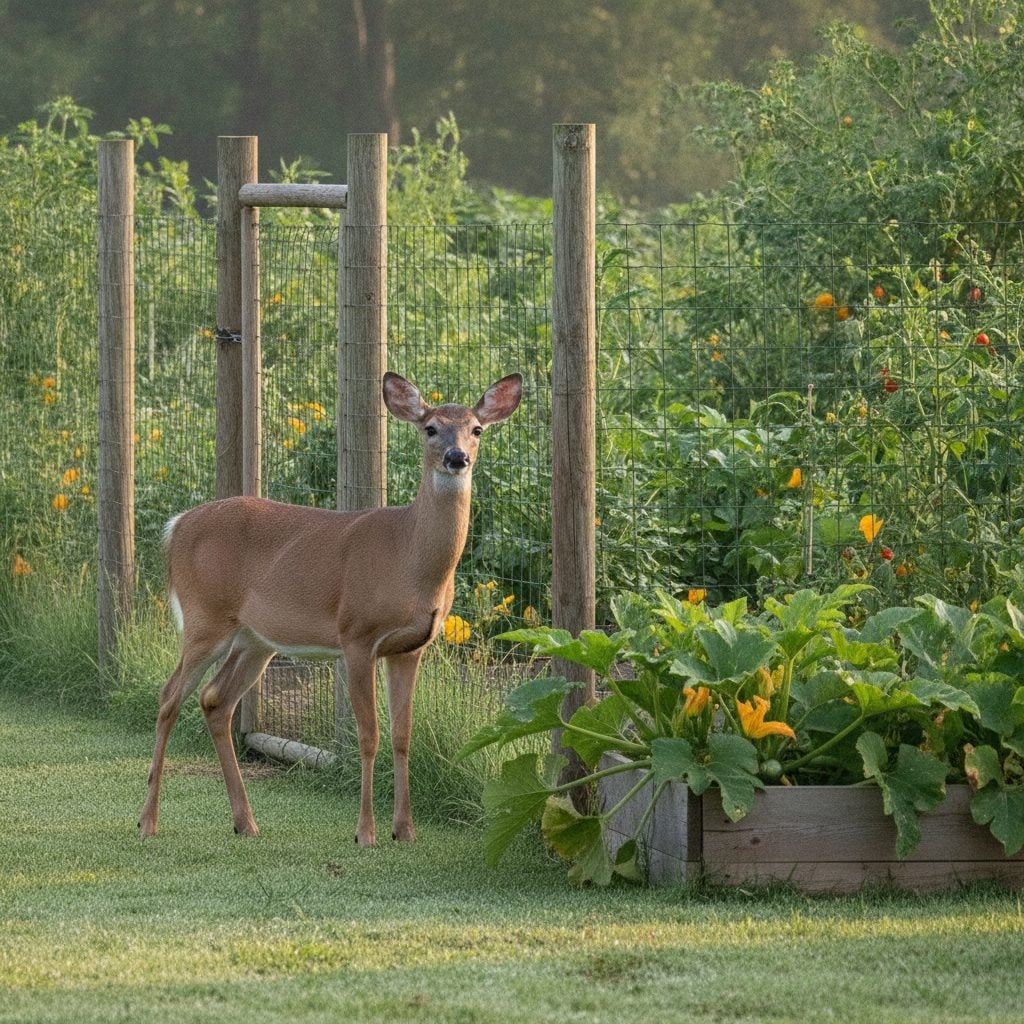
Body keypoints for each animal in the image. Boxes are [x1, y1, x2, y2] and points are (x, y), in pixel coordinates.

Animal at [139, 370, 523, 845]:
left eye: (477, 429)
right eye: (430, 428)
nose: (457, 458)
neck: (410, 559)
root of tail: (175, 527)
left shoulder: (411, 648)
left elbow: (402, 735)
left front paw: (405, 830)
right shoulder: (357, 634)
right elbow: (368, 735)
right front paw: (366, 833)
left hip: (255, 639)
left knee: (215, 700)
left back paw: (245, 822)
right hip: (204, 617)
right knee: (169, 696)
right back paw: (148, 821)